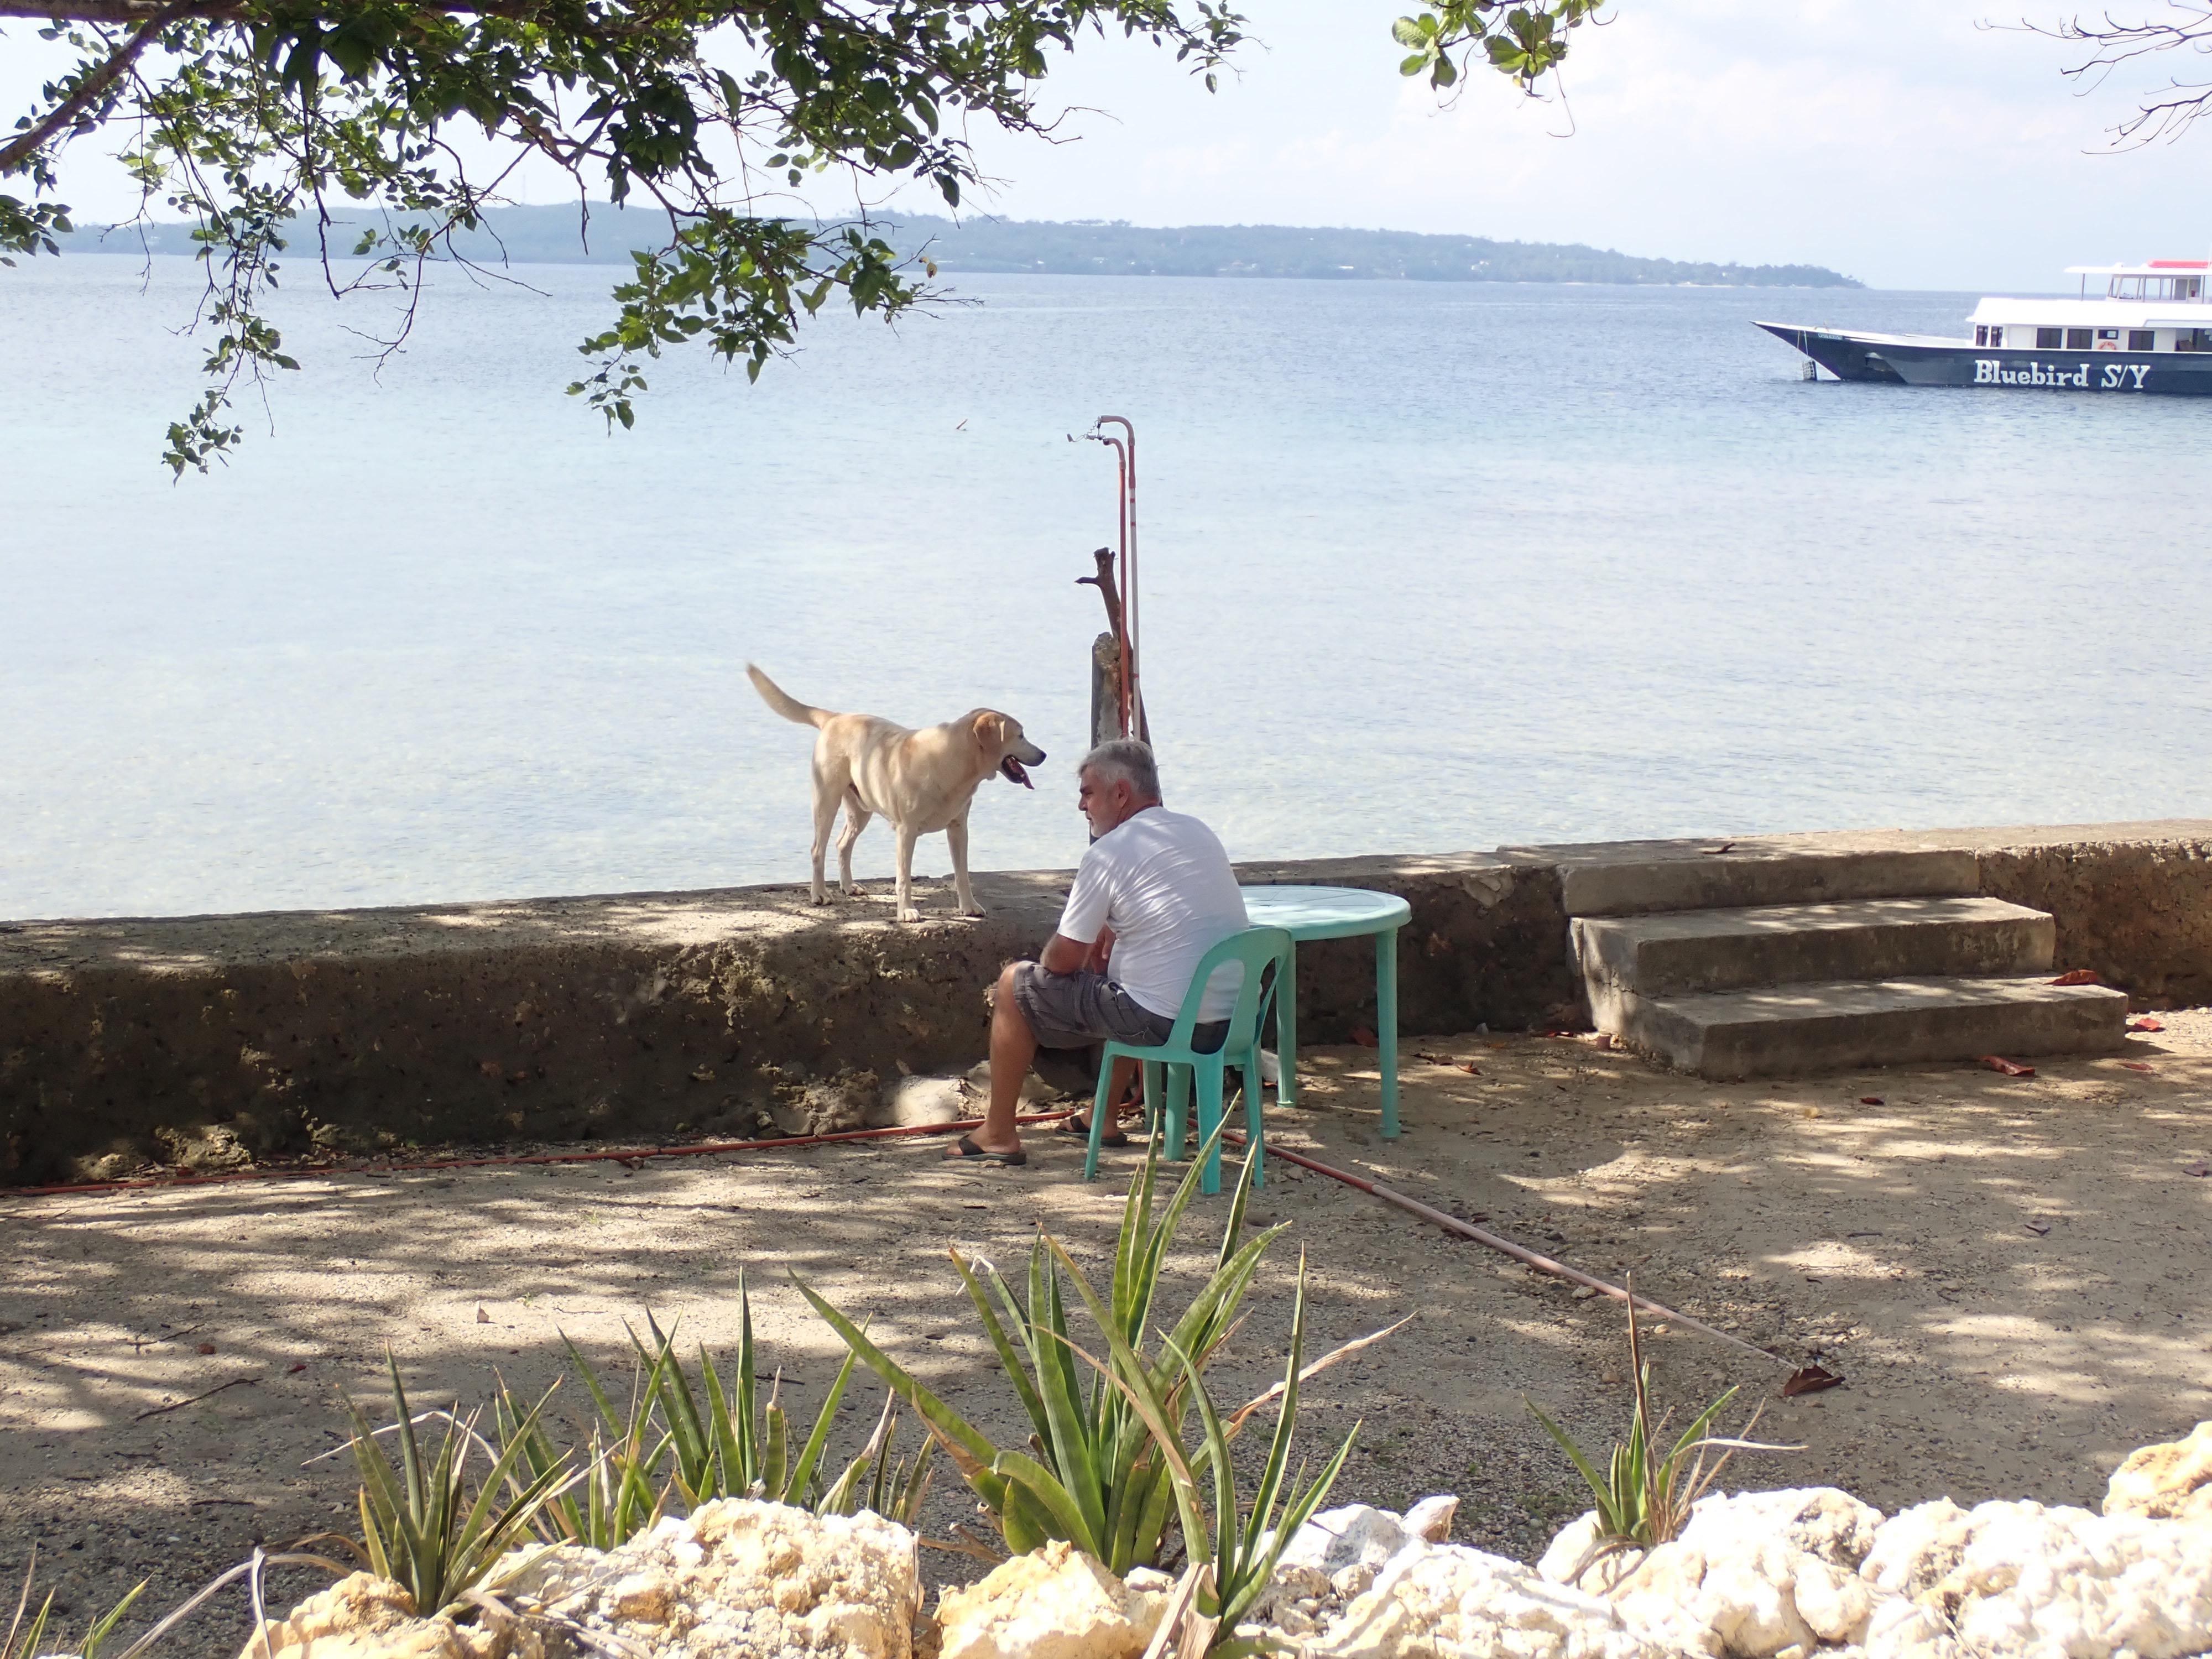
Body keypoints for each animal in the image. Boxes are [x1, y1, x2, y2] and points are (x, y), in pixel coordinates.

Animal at [752, 664, 1044, 925]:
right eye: (1021, 735)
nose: (1044, 754)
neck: (954, 762)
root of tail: (835, 717)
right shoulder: (907, 831)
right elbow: (904, 878)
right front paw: (907, 912)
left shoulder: (959, 828)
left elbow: (962, 874)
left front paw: (969, 907)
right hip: (827, 801)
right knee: (818, 849)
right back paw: (820, 894)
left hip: (860, 809)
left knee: (842, 844)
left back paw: (848, 886)